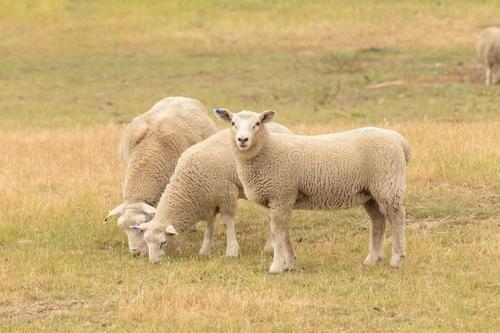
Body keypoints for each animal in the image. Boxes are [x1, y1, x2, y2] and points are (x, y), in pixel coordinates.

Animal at [134, 122, 292, 262]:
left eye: (163, 242)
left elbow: (227, 223)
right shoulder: (209, 199)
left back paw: (269, 246)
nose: (153, 262)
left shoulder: (227, 194)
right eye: (146, 242)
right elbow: (210, 223)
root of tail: (283, 128)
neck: (189, 184)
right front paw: (206, 249)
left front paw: (232, 251)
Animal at [214, 108, 410, 272]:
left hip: (387, 185)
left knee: (397, 218)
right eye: (233, 123)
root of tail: (401, 141)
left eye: (257, 124)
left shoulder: (281, 193)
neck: (267, 149)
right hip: (370, 192)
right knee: (378, 220)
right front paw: (289, 263)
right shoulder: (282, 198)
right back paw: (372, 259)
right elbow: (284, 231)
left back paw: (396, 259)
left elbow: (277, 231)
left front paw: (276, 266)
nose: (242, 140)